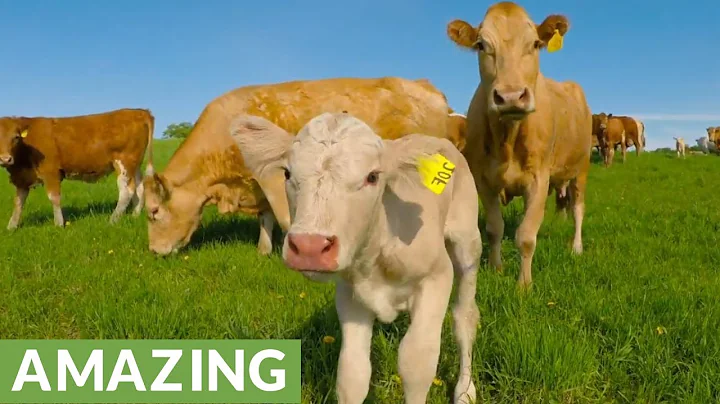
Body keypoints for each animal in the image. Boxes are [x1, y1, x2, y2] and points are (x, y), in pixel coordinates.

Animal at [0, 108, 154, 229]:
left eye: (16, 137)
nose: (5, 159)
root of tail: (139, 111)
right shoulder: (22, 178)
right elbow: (18, 202)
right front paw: (11, 227)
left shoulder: (51, 172)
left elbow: (54, 198)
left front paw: (59, 224)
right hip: (135, 165)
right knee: (140, 188)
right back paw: (134, 215)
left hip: (124, 163)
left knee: (127, 191)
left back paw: (113, 220)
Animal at [143, 76, 465, 256]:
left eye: (154, 212)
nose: (154, 251)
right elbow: (266, 218)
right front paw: (263, 250)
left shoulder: (273, 176)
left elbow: (285, 218)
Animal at [233, 112, 481, 404]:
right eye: (287, 173)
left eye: (372, 176)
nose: (309, 246)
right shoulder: (350, 295)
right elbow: (352, 372)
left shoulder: (436, 278)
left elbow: (417, 364)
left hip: (467, 242)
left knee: (464, 317)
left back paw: (465, 391)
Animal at [446, 1, 592, 288]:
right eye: (481, 45)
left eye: (535, 44)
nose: (511, 96)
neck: (508, 139)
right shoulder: (483, 179)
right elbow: (494, 228)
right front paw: (496, 268)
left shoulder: (539, 179)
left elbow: (526, 236)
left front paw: (523, 285)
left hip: (581, 168)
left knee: (578, 209)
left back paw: (576, 247)